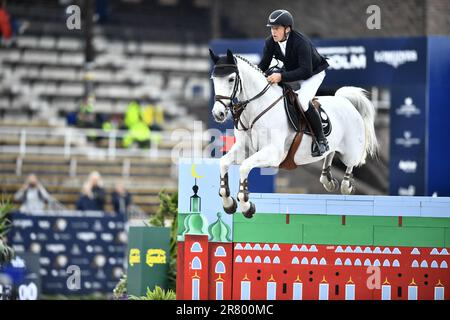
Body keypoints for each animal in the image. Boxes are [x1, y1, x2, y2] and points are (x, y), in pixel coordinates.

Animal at [209, 49, 378, 220]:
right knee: (330, 153)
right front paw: (228, 204)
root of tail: (346, 102)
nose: (218, 114)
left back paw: (345, 186)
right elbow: (223, 162)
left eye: (231, 79)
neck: (257, 109)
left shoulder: (273, 154)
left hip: (350, 151)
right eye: (213, 79)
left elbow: (244, 167)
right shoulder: (244, 149)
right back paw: (328, 179)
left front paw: (246, 206)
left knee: (351, 163)